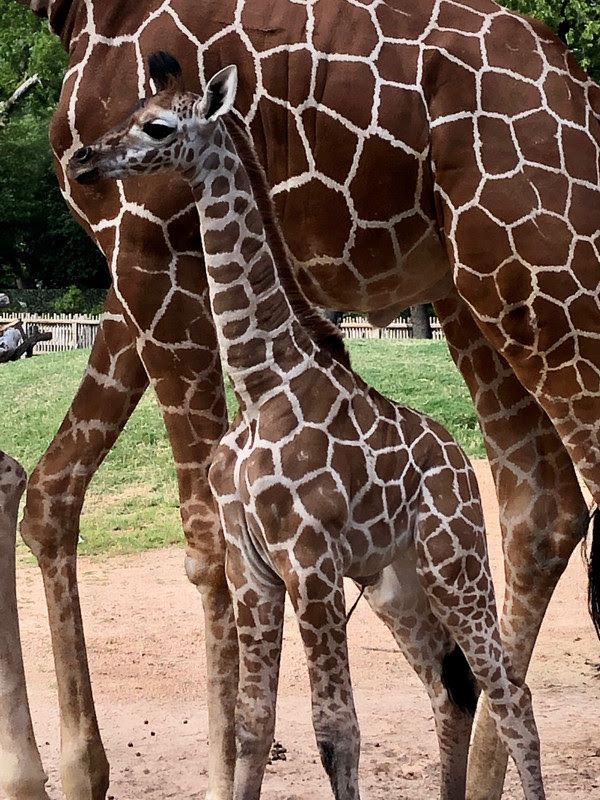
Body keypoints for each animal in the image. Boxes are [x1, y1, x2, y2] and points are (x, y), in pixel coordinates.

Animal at [9, 1, 600, 800]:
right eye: (131, 112)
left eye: (157, 127)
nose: (85, 163)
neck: (266, 379)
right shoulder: (261, 561)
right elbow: (257, 716)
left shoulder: (147, 256)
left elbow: (331, 725)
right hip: (431, 458)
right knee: (482, 630)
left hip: (535, 304)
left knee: (507, 679)